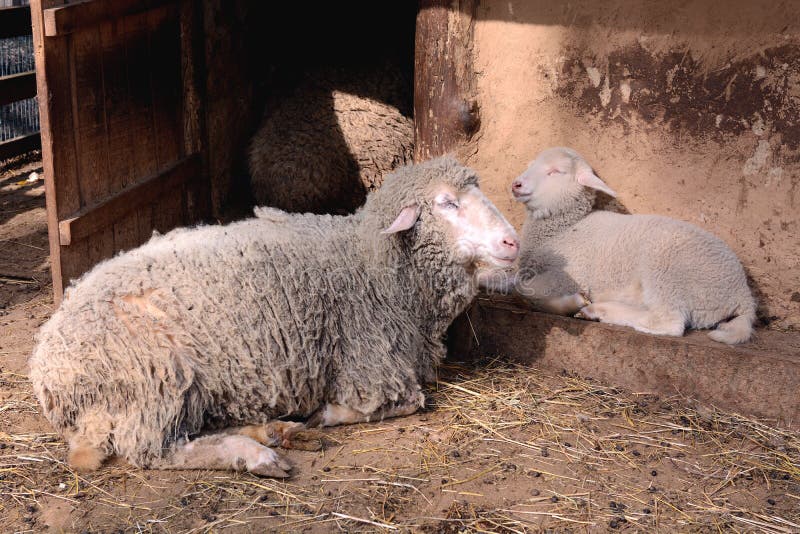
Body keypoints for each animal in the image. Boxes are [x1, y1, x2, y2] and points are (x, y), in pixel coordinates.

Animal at [29, 155, 520, 478]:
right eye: (447, 203)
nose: (512, 242)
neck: (370, 262)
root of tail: (46, 364)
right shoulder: (372, 366)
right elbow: (408, 401)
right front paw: (328, 413)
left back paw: (272, 431)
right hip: (154, 379)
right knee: (155, 450)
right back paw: (253, 454)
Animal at [510, 149, 760, 346]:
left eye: (555, 171)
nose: (516, 184)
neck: (565, 228)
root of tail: (742, 295)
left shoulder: (570, 275)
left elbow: (520, 288)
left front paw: (570, 303)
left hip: (668, 270)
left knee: (668, 322)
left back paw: (599, 310)